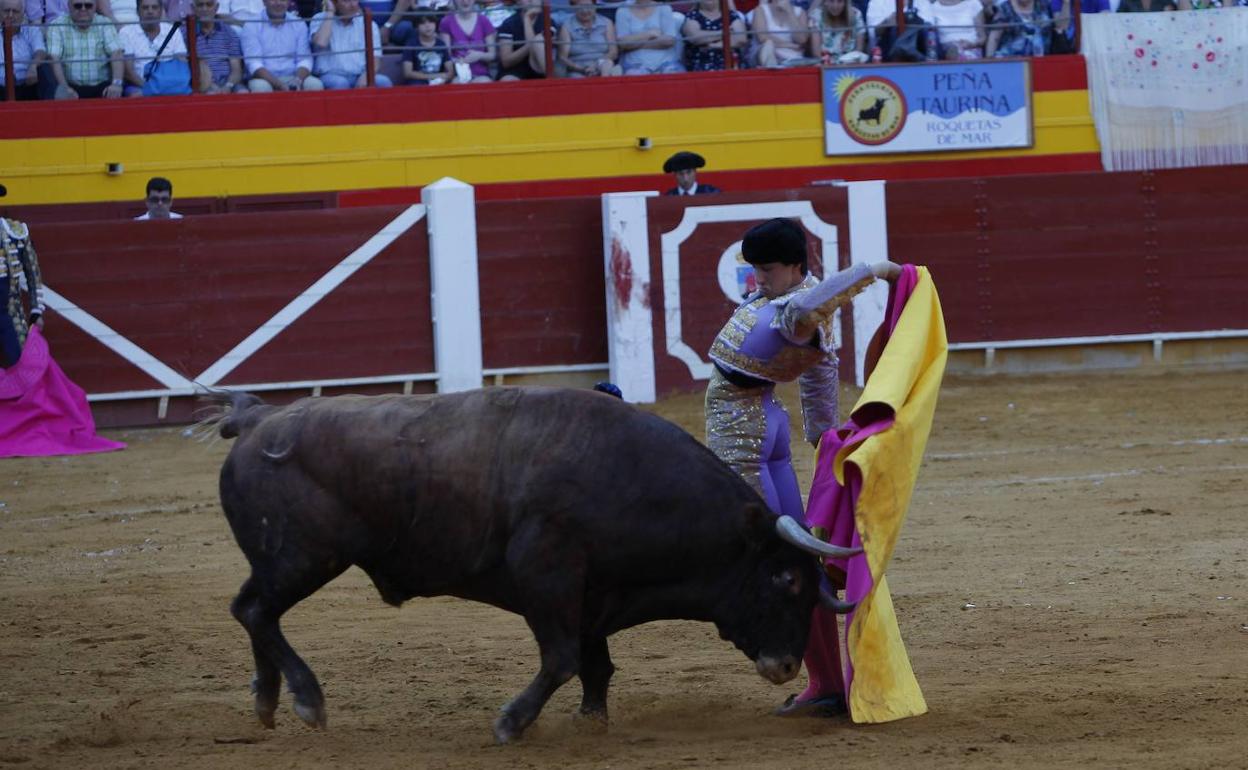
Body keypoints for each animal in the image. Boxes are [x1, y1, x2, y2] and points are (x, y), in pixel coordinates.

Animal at [212, 386, 858, 743]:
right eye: (785, 578)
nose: (786, 666)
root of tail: (257, 420)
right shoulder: (546, 577)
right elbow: (564, 659)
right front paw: (512, 723)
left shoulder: (593, 595)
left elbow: (596, 664)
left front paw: (590, 722)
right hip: (303, 557)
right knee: (255, 611)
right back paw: (306, 700)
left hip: (284, 561)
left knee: (256, 613)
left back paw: (268, 703)